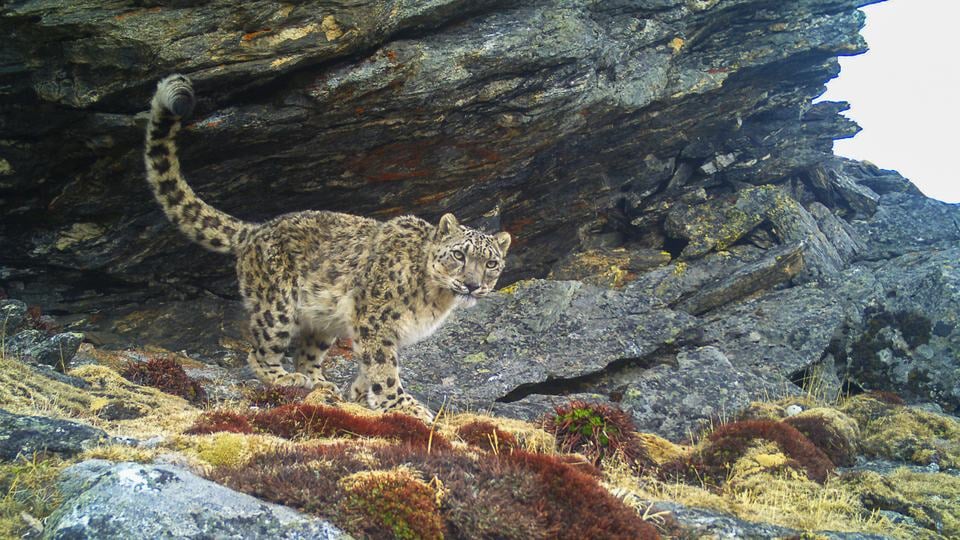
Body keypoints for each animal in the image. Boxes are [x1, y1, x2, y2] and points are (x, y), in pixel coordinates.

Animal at [143, 74, 511, 421]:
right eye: (459, 254)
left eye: (491, 263)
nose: (473, 284)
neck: (436, 301)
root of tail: (256, 229)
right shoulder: (375, 320)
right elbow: (383, 366)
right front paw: (403, 405)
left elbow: (369, 365)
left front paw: (361, 394)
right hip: (278, 306)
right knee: (260, 350)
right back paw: (285, 378)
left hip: (322, 322)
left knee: (307, 355)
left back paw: (321, 383)